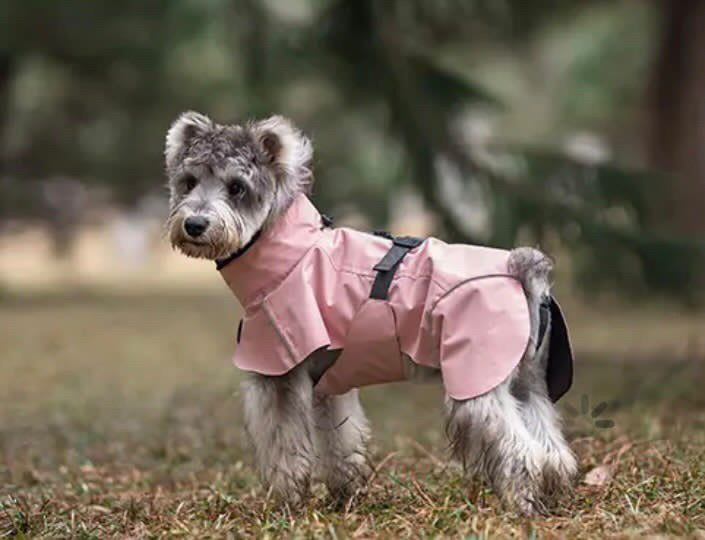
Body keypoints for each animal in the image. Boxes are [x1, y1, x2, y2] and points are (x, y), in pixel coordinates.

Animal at [162, 110, 576, 516]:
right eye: (188, 182)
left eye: (236, 187)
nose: (194, 224)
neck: (289, 251)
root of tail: (523, 276)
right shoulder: (328, 385)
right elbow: (341, 440)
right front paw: (344, 494)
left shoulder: (276, 374)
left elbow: (284, 447)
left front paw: (286, 502)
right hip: (525, 384)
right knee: (553, 451)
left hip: (476, 385)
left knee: (522, 450)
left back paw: (520, 504)